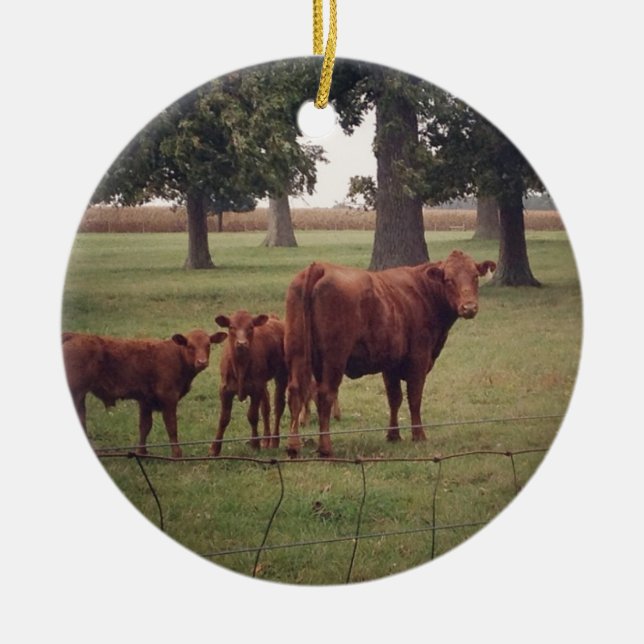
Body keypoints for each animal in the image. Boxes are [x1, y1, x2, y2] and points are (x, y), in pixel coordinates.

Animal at [62, 329, 224, 457]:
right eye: (190, 346)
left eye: (208, 345)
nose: (202, 362)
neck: (177, 357)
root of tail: (74, 335)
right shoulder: (169, 398)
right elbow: (171, 426)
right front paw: (177, 454)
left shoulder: (145, 400)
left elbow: (145, 426)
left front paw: (142, 452)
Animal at [208, 311, 288, 457]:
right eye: (231, 327)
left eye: (251, 327)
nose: (241, 343)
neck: (240, 366)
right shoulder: (224, 390)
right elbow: (224, 418)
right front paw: (214, 448)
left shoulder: (255, 389)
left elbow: (253, 416)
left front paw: (255, 445)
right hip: (263, 383)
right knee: (266, 407)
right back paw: (266, 440)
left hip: (281, 376)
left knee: (278, 406)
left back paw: (274, 441)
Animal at [284, 250, 496, 457]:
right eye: (449, 279)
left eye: (475, 276)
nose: (469, 307)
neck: (423, 293)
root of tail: (320, 267)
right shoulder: (419, 358)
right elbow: (414, 397)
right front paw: (418, 435)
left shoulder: (390, 363)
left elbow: (394, 398)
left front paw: (393, 435)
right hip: (335, 357)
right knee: (325, 394)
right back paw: (325, 448)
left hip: (298, 352)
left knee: (296, 391)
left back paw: (294, 445)